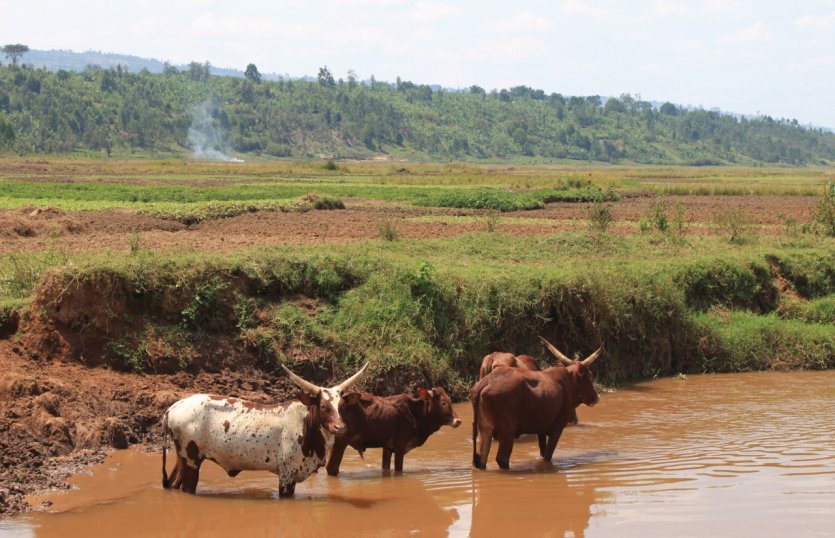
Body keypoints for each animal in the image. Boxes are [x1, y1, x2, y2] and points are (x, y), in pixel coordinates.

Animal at [162, 360, 368, 494]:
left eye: (342, 406)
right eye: (324, 406)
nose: (339, 427)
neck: (306, 425)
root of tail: (173, 408)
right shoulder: (286, 475)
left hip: (182, 458)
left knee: (173, 483)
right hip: (191, 461)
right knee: (186, 488)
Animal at [324, 386, 460, 474]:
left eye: (450, 401)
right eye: (443, 403)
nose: (458, 421)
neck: (417, 414)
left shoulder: (387, 447)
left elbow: (386, 468)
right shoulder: (400, 447)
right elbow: (398, 470)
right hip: (340, 442)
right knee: (331, 468)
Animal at [470, 340, 600, 468]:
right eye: (590, 375)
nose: (596, 397)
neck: (569, 382)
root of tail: (486, 381)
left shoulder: (541, 430)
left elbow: (542, 453)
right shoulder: (557, 427)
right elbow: (547, 456)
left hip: (485, 430)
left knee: (481, 459)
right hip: (507, 432)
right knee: (502, 459)